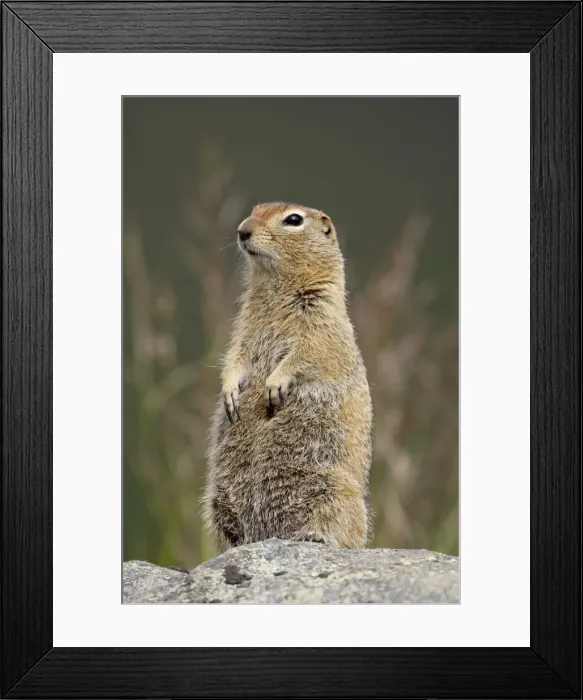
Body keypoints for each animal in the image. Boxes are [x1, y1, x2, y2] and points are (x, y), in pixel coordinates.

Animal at [203, 202, 373, 549]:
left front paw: (274, 385)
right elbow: (235, 356)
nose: (242, 231)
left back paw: (315, 536)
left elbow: (307, 354)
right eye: (255, 209)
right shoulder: (243, 330)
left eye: (293, 219)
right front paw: (230, 392)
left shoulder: (321, 320)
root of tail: (267, 533)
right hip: (218, 499)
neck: (275, 286)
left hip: (335, 492)